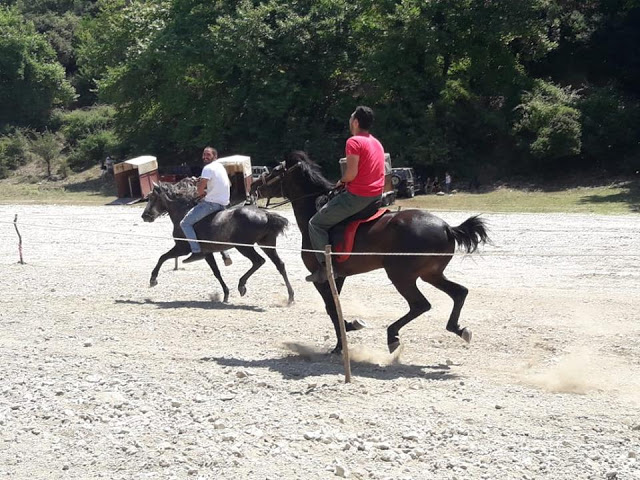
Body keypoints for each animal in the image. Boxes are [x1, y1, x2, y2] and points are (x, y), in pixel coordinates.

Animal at [141, 180, 294, 304]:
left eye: (152, 197)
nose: (144, 216)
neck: (183, 212)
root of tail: (266, 215)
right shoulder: (207, 253)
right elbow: (217, 272)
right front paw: (225, 294)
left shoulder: (182, 248)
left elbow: (162, 257)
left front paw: (153, 279)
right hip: (267, 244)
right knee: (280, 265)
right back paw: (290, 297)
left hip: (244, 247)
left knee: (258, 261)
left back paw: (241, 285)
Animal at [252, 152, 488, 354]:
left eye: (273, 171)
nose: (253, 186)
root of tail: (446, 227)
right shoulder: (339, 277)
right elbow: (335, 306)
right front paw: (345, 335)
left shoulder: (322, 277)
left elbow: (331, 308)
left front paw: (343, 338)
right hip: (431, 274)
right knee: (459, 293)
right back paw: (458, 328)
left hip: (402, 276)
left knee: (420, 304)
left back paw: (392, 335)